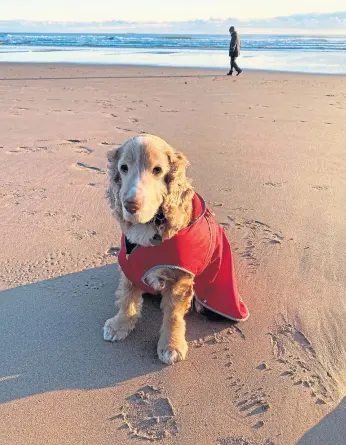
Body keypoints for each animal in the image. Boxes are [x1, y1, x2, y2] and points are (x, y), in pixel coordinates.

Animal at [102, 134, 249, 364]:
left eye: (157, 170)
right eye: (123, 168)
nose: (130, 205)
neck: (151, 227)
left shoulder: (180, 278)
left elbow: (172, 314)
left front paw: (171, 346)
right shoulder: (129, 265)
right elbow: (126, 297)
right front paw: (120, 325)